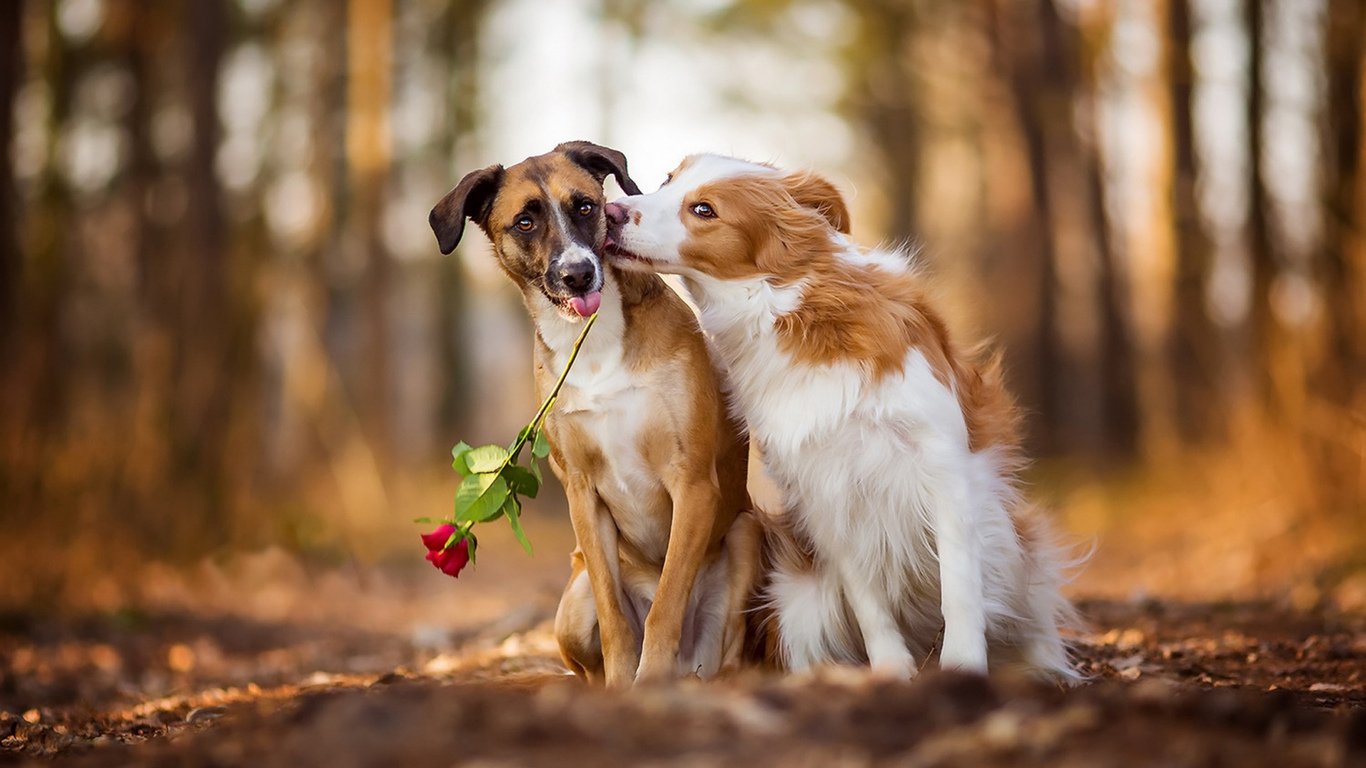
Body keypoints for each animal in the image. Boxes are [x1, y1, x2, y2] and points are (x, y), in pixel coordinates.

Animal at [431, 142, 764, 680]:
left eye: (585, 206)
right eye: (525, 221)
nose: (578, 273)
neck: (594, 343)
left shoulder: (692, 483)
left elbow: (666, 605)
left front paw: (650, 681)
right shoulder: (582, 494)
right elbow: (615, 620)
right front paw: (624, 683)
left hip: (745, 536)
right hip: (571, 601)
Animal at [606, 153, 1076, 675]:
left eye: (704, 209)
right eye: (667, 181)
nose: (610, 211)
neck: (788, 311)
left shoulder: (945, 467)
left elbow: (959, 586)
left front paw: (962, 667)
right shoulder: (822, 489)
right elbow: (867, 599)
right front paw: (891, 668)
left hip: (1020, 551)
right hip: (796, 595)